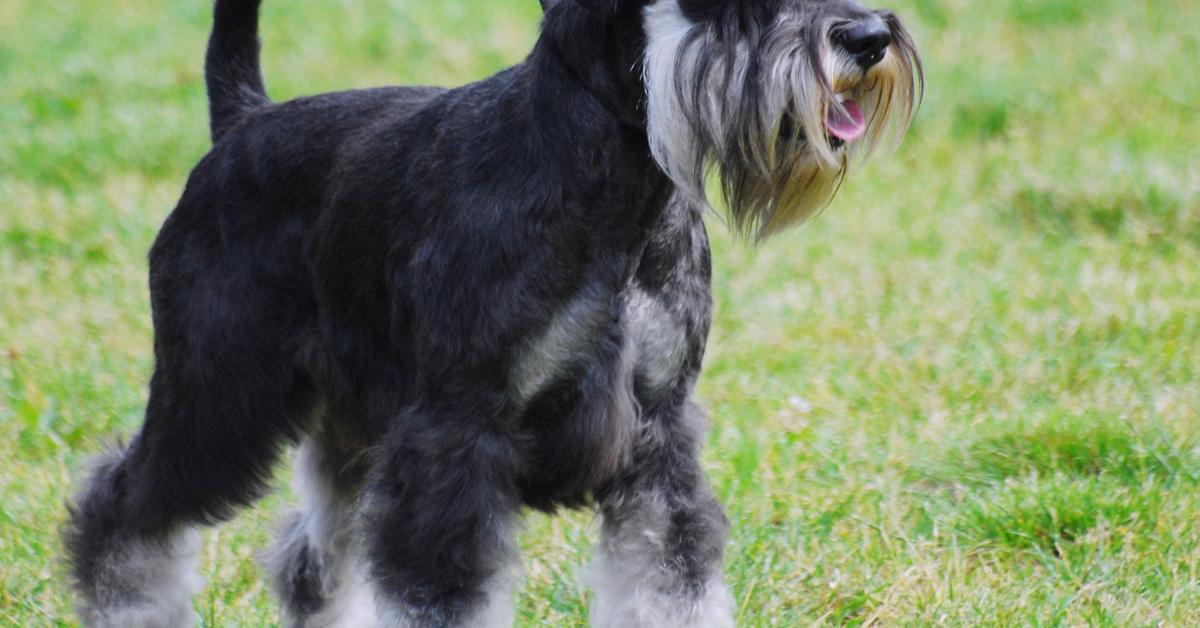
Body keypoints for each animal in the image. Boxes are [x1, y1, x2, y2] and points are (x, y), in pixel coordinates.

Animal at [63, 0, 916, 624]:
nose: (869, 38)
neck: (610, 179)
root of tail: (242, 122)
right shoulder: (456, 437)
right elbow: (443, 595)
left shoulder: (658, 434)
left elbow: (672, 583)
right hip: (220, 396)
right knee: (121, 512)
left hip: (348, 424)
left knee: (313, 561)